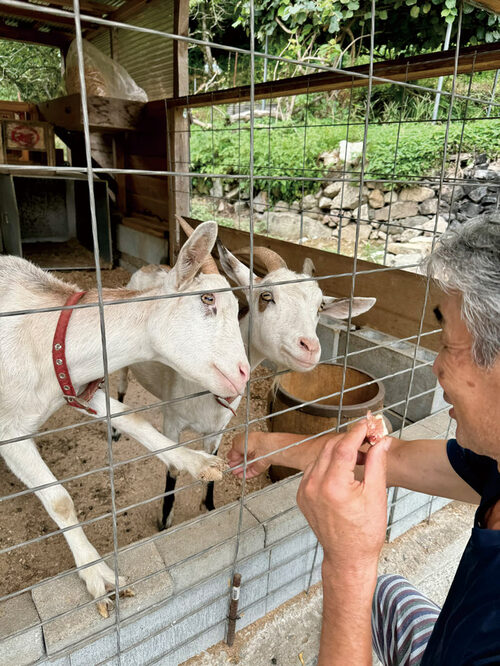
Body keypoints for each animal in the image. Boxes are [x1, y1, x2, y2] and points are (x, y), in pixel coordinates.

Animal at [0, 222, 250, 612]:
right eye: (207, 299)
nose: (244, 374)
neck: (43, 337)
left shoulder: (75, 386)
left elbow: (134, 419)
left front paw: (196, 461)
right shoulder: (9, 433)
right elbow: (59, 499)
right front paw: (98, 575)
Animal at [117, 220, 376, 528]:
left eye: (319, 308)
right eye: (267, 296)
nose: (310, 348)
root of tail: (148, 268)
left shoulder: (218, 428)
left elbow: (215, 466)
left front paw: (209, 506)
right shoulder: (173, 423)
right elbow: (173, 469)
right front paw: (165, 519)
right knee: (120, 385)